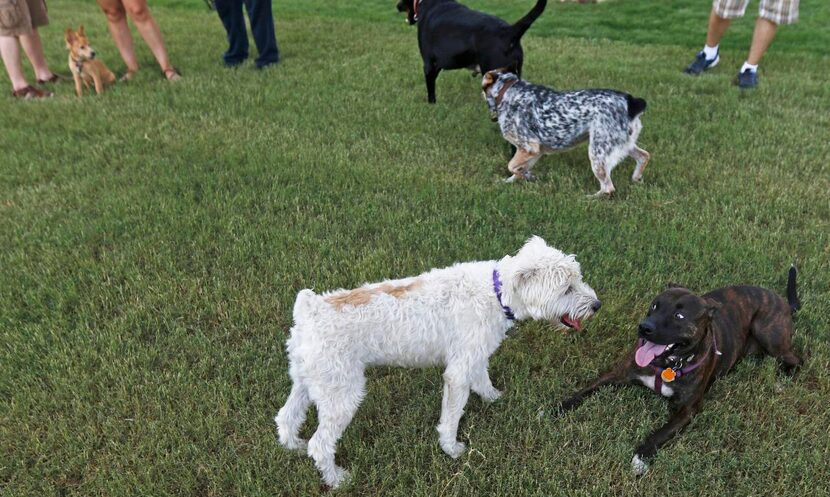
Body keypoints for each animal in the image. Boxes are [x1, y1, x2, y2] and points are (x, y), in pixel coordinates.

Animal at [276, 234, 600, 486]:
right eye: (567, 288)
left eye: (578, 279)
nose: (597, 305)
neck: (496, 293)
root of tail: (309, 310)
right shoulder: (458, 372)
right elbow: (453, 415)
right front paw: (452, 448)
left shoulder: (474, 354)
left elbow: (483, 379)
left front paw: (495, 398)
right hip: (342, 393)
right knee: (320, 444)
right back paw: (336, 479)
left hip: (308, 381)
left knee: (286, 417)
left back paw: (293, 445)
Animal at [484, 69, 652, 195]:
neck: (507, 91)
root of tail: (632, 102)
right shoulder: (534, 151)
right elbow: (518, 169)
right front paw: (515, 180)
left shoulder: (529, 147)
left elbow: (511, 166)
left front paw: (525, 177)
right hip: (623, 144)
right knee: (644, 156)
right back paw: (636, 178)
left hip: (598, 153)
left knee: (608, 188)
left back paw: (590, 198)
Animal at [556, 270, 804, 474]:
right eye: (655, 306)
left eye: (679, 317)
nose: (644, 327)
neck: (667, 364)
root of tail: (782, 301)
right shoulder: (616, 374)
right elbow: (585, 390)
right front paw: (558, 408)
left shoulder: (687, 410)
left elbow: (662, 432)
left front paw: (641, 456)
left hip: (768, 333)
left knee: (797, 359)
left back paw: (783, 378)